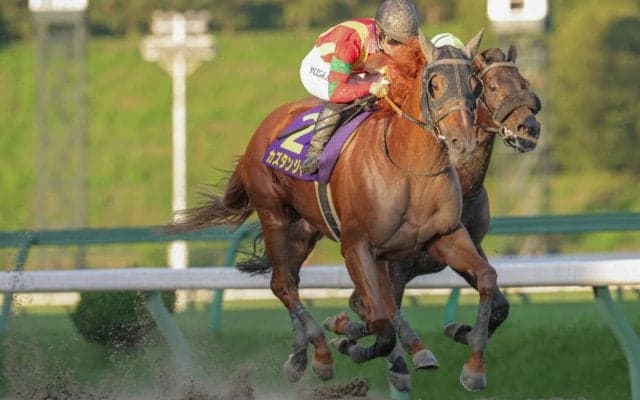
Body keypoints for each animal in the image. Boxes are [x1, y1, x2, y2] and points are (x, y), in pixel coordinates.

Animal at [173, 30, 495, 391]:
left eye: (475, 84)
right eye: (434, 84)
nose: (462, 142)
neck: (411, 167)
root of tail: (262, 130)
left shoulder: (444, 236)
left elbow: (486, 279)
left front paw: (474, 367)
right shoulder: (356, 246)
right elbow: (379, 319)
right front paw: (345, 335)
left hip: (305, 230)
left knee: (288, 282)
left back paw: (300, 357)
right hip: (274, 215)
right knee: (284, 284)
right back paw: (321, 354)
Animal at [324, 45, 542, 392]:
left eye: (524, 82)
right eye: (492, 87)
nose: (530, 129)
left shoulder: (466, 247)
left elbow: (499, 305)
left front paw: (463, 332)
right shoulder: (392, 265)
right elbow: (381, 310)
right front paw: (400, 359)